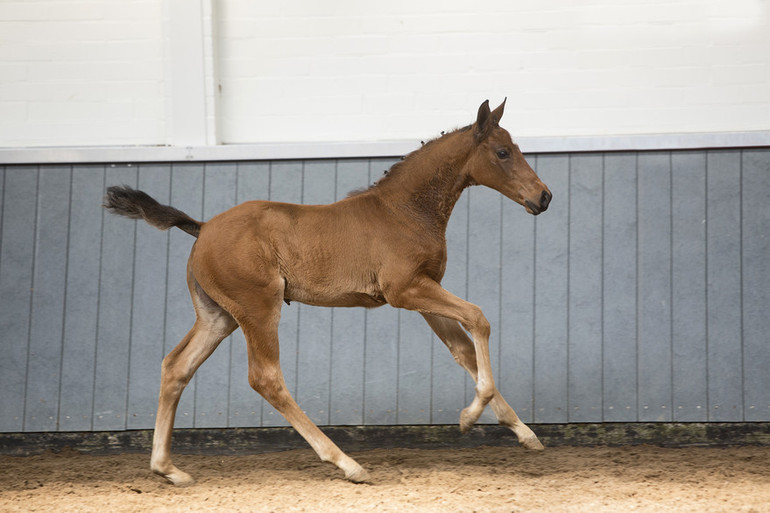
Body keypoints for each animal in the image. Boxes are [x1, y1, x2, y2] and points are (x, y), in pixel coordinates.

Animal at [103, 99, 544, 484]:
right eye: (503, 152)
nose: (544, 197)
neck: (403, 211)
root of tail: (203, 227)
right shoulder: (405, 291)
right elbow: (479, 318)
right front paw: (470, 416)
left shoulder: (426, 294)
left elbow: (464, 349)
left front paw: (524, 433)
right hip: (257, 308)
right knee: (266, 378)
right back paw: (347, 463)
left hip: (218, 316)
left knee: (177, 366)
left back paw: (168, 469)